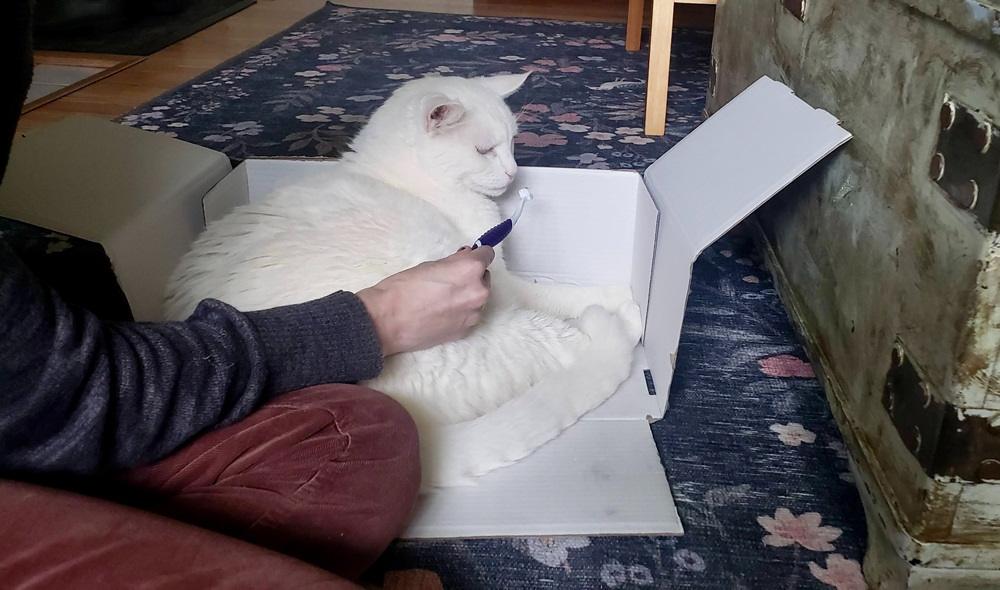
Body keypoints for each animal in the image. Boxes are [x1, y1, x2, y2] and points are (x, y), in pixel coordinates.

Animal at [166, 73, 640, 490]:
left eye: (512, 142)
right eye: (485, 150)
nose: (513, 173)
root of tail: (419, 428)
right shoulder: (499, 275)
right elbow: (555, 292)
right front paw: (616, 296)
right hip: (515, 329)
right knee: (582, 348)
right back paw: (625, 324)